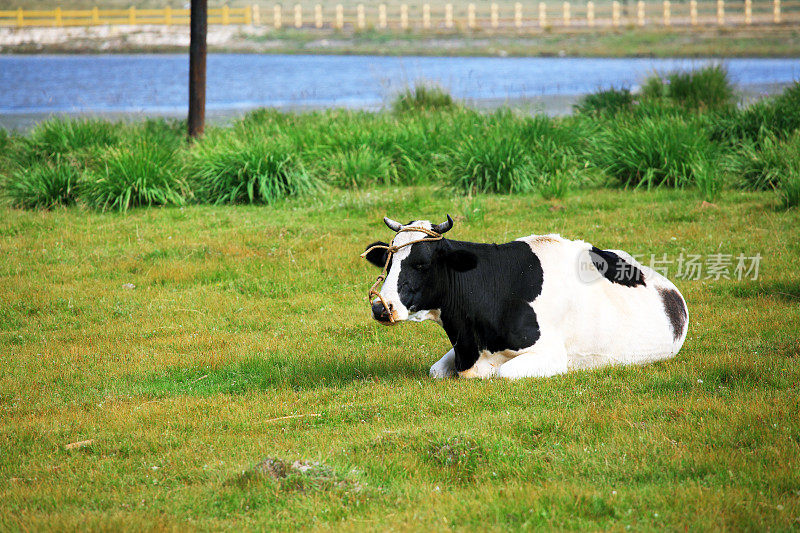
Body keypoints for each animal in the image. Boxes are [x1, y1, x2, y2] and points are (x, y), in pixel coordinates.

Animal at [362, 216, 688, 378]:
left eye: (421, 264)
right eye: (388, 263)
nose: (381, 307)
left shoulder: (553, 355)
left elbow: (503, 373)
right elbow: (435, 370)